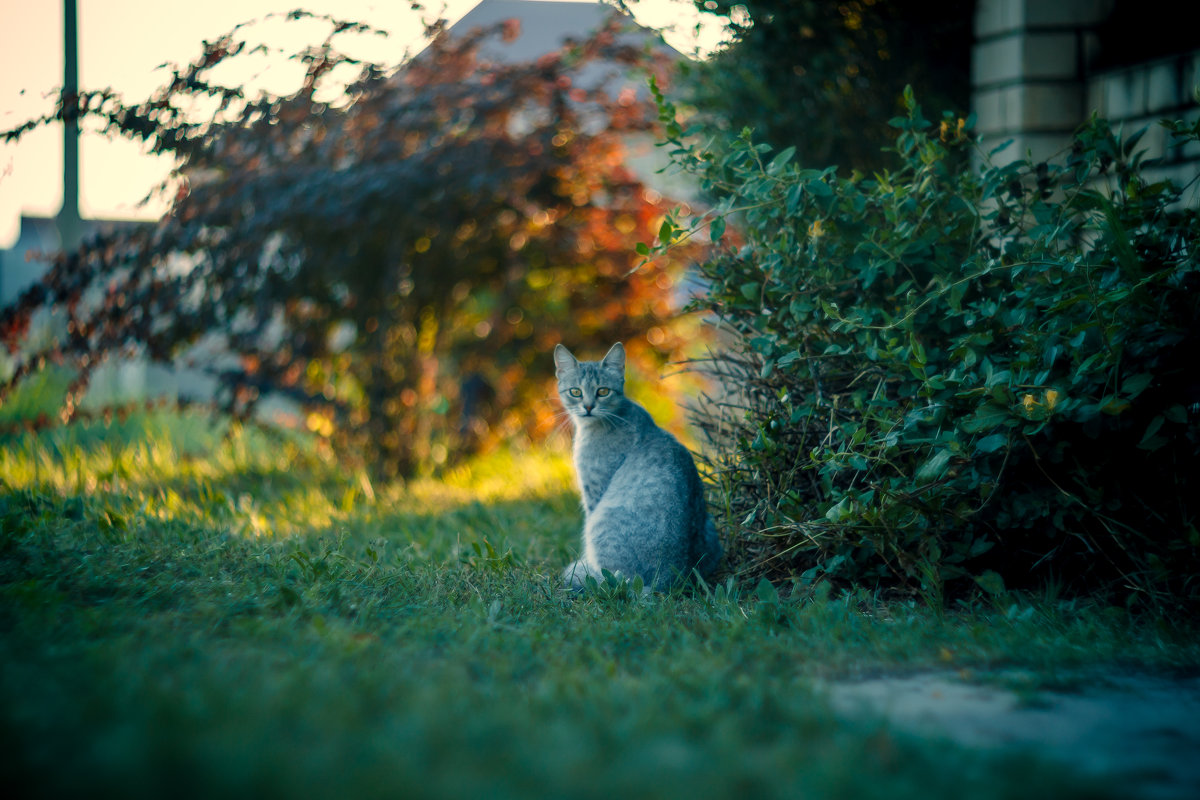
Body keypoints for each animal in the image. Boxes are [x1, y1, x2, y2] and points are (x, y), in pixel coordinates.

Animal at [554, 340, 720, 592]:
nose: (588, 407)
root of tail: (669, 581)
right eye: (575, 392)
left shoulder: (594, 494)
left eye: (603, 391)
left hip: (603, 525)